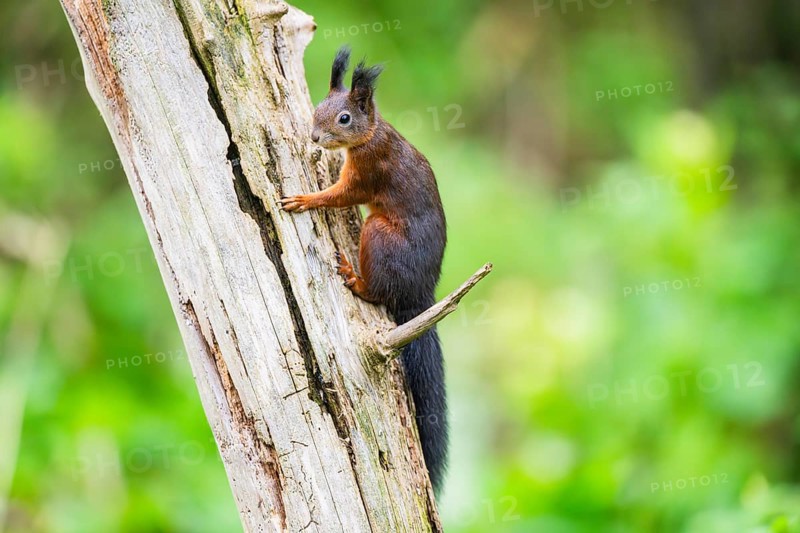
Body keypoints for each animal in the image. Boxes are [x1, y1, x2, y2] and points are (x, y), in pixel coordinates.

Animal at [280, 46, 448, 495]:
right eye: (317, 108)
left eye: (344, 118)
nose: (314, 138)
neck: (372, 134)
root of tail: (420, 295)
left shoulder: (370, 169)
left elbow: (341, 195)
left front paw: (305, 199)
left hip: (377, 234)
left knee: (377, 292)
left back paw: (355, 279)